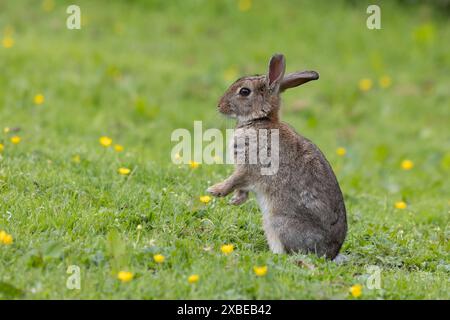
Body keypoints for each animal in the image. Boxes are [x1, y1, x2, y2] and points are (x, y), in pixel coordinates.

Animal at [207, 53, 348, 260]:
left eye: (244, 91)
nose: (219, 106)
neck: (259, 120)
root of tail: (329, 254)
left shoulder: (249, 166)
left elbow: (234, 180)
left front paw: (215, 191)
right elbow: (242, 188)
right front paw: (235, 200)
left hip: (277, 222)